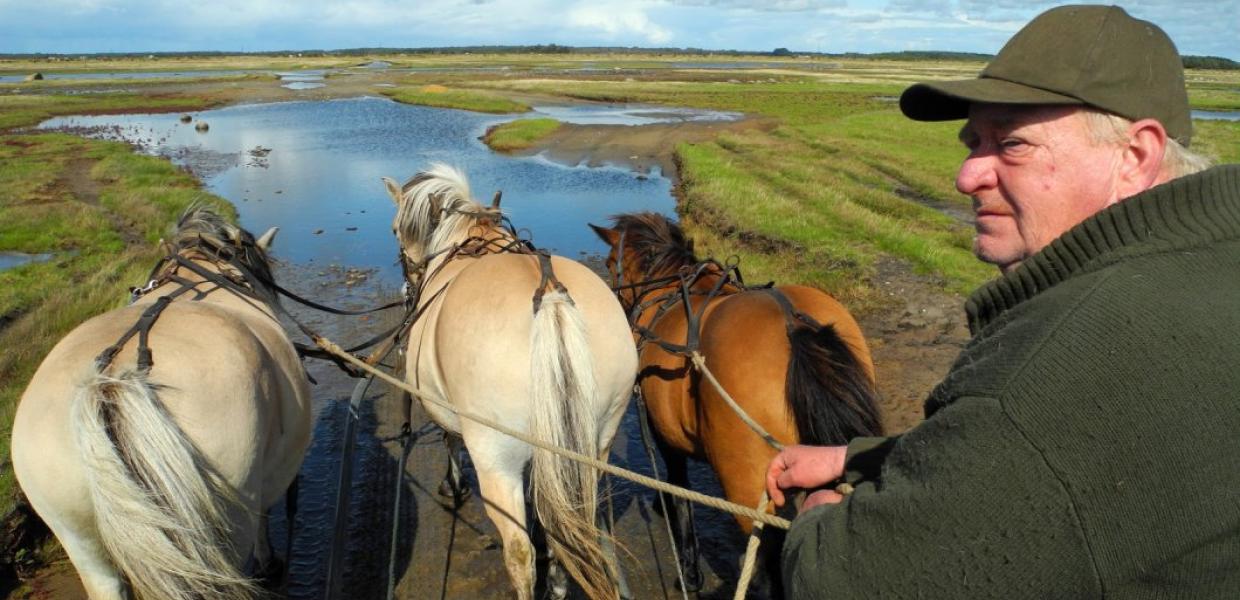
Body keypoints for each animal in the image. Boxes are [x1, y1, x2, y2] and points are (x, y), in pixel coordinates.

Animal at [384, 163, 639, 600]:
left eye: (397, 230)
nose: (407, 289)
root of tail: (551, 296)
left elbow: (450, 438)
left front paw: (452, 485)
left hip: (495, 458)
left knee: (519, 553)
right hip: (596, 443)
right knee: (568, 527)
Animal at [590, 211, 882, 595]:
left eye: (611, 262)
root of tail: (793, 323)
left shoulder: (664, 432)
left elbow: (680, 490)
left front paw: (689, 568)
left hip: (748, 487)